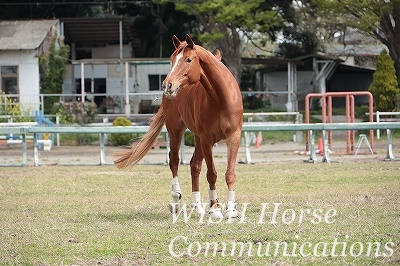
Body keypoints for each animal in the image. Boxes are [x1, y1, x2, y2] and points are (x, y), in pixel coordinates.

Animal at [114, 34, 242, 219]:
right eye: (172, 58)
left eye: (189, 59)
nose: (168, 84)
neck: (221, 98)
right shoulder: (207, 139)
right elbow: (211, 174)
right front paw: (215, 209)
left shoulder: (234, 137)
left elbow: (229, 173)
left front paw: (231, 210)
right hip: (176, 131)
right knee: (174, 161)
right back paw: (175, 199)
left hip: (197, 137)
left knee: (194, 165)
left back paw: (197, 206)